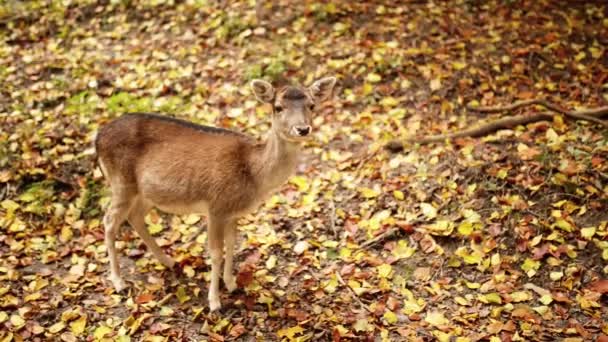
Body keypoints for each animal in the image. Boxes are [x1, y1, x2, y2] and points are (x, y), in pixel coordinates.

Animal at [95, 76, 338, 312]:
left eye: (312, 105)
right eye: (278, 107)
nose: (302, 129)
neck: (254, 174)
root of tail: (97, 138)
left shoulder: (232, 212)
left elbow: (232, 244)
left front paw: (231, 283)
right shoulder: (216, 207)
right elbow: (215, 251)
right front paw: (214, 302)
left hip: (145, 192)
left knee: (135, 216)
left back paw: (168, 261)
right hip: (121, 183)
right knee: (109, 220)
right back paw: (119, 282)